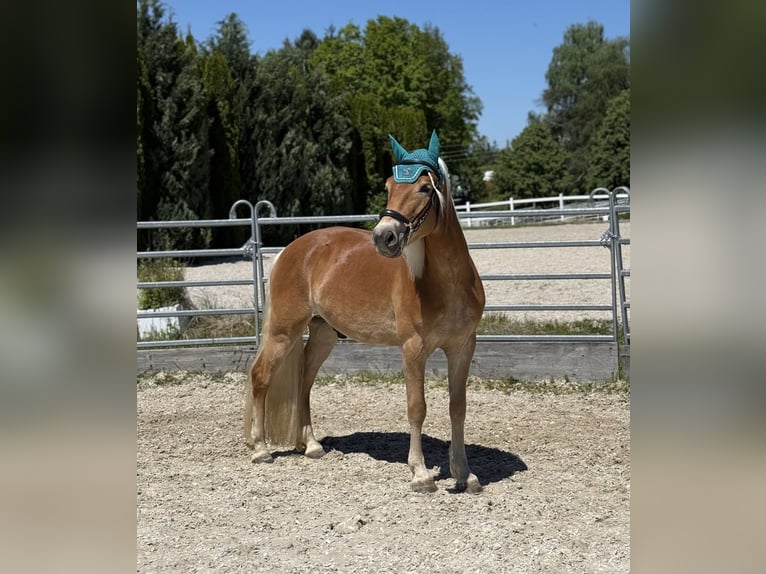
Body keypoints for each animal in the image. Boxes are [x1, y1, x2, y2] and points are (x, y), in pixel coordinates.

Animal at [244, 130, 486, 493]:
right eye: (388, 186)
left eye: (424, 188)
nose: (384, 237)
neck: (445, 283)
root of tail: (291, 249)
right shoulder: (413, 349)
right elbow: (417, 408)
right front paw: (420, 474)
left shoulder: (462, 347)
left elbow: (458, 408)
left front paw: (464, 474)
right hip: (283, 331)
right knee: (261, 376)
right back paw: (260, 450)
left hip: (323, 335)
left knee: (304, 383)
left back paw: (311, 445)